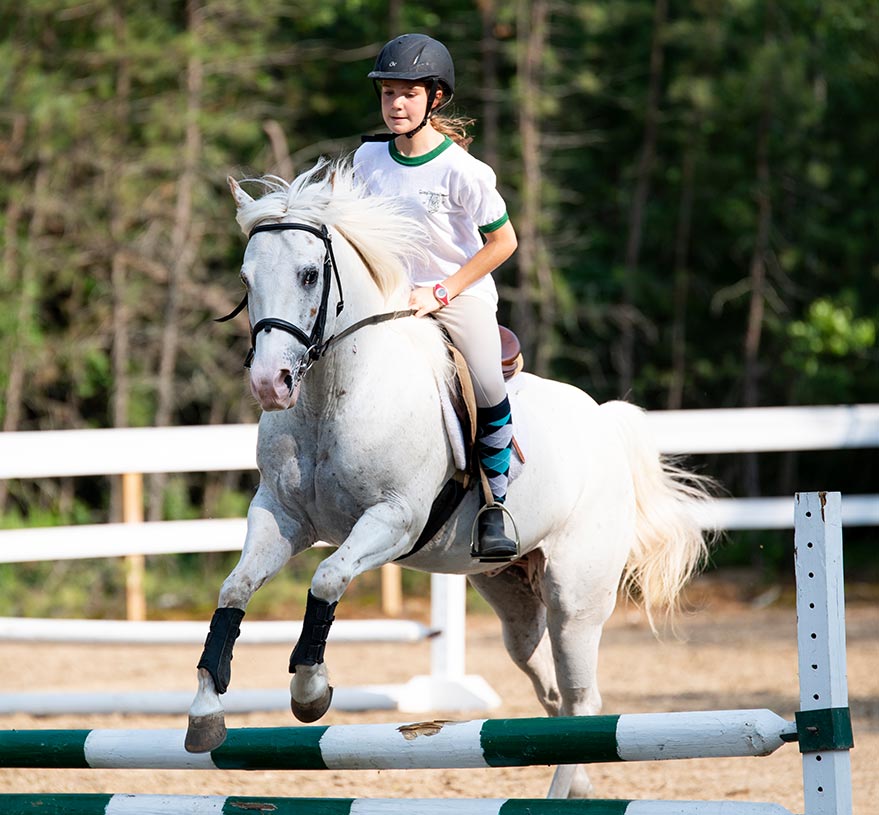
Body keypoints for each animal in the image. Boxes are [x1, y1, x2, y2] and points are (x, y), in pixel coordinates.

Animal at [187, 158, 716, 796]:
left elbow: (327, 579)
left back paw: (559, 796)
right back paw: (580, 785)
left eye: (310, 275)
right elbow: (234, 590)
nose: (271, 384)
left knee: (583, 699)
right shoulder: (282, 518)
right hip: (513, 599)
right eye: (246, 279)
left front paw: (310, 691)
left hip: (576, 596)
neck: (334, 393)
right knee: (554, 694)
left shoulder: (393, 520)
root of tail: (604, 422)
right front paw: (205, 713)